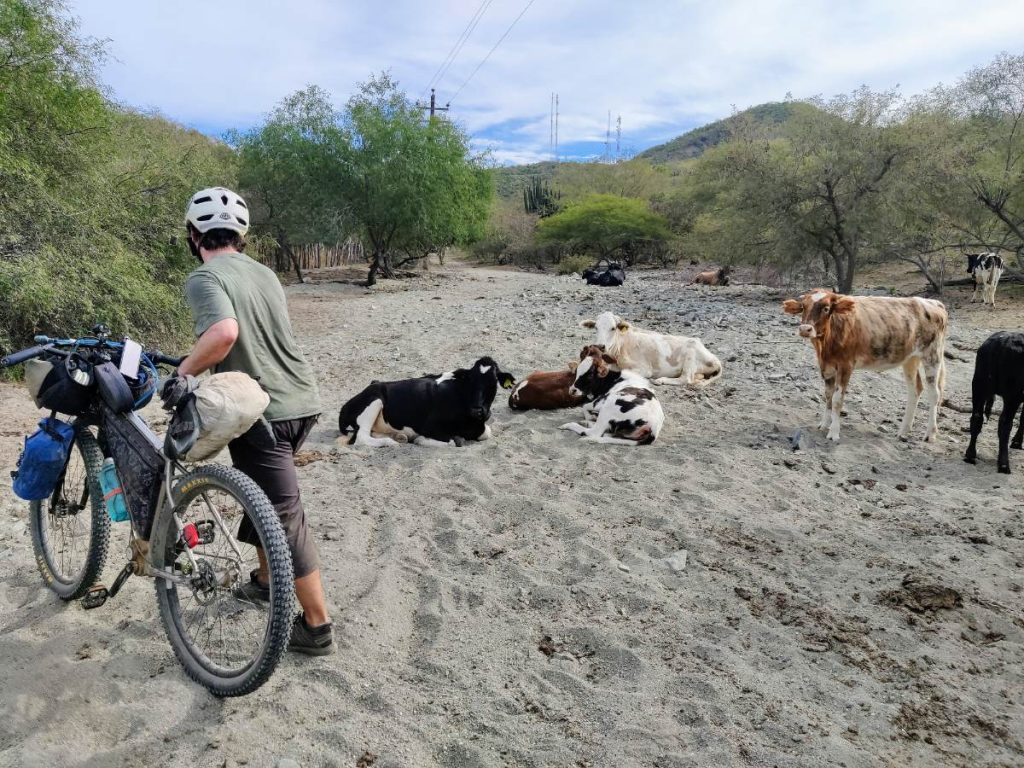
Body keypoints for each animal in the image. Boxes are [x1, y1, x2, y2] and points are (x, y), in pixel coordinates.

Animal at [337, 358, 516, 448]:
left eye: (493, 383)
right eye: (470, 380)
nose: (477, 410)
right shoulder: (429, 426)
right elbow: (457, 440)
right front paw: (420, 440)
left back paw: (399, 436)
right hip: (375, 399)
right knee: (361, 437)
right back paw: (391, 442)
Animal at [581, 311, 724, 387]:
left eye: (613, 328)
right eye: (596, 328)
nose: (600, 346)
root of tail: (715, 359)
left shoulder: (644, 369)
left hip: (690, 354)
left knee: (686, 379)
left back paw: (660, 380)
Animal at [782, 290, 950, 444]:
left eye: (826, 308)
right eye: (803, 306)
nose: (805, 329)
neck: (825, 347)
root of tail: (933, 302)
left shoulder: (846, 366)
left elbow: (837, 400)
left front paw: (834, 432)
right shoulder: (826, 366)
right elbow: (828, 396)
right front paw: (824, 424)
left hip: (932, 355)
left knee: (934, 394)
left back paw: (930, 434)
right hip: (910, 359)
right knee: (915, 389)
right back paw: (903, 431)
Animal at [962, 331, 1019, 473]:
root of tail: (1004, 341)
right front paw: (1017, 442)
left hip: (979, 384)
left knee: (977, 417)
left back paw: (970, 455)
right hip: (1012, 395)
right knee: (1005, 424)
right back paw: (1004, 465)